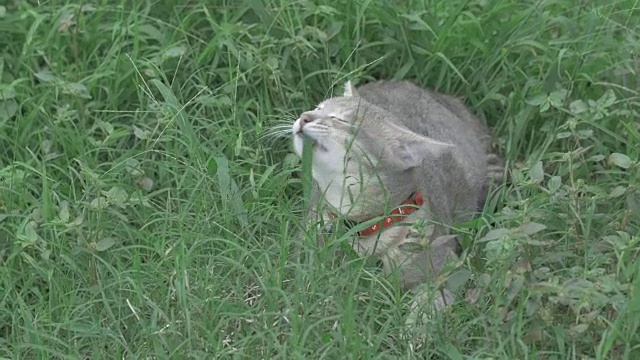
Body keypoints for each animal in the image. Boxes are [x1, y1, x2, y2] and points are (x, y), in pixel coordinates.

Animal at [292, 80, 504, 330]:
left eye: (341, 120)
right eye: (319, 107)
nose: (304, 116)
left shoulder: (446, 270)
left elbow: (425, 308)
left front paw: (411, 331)